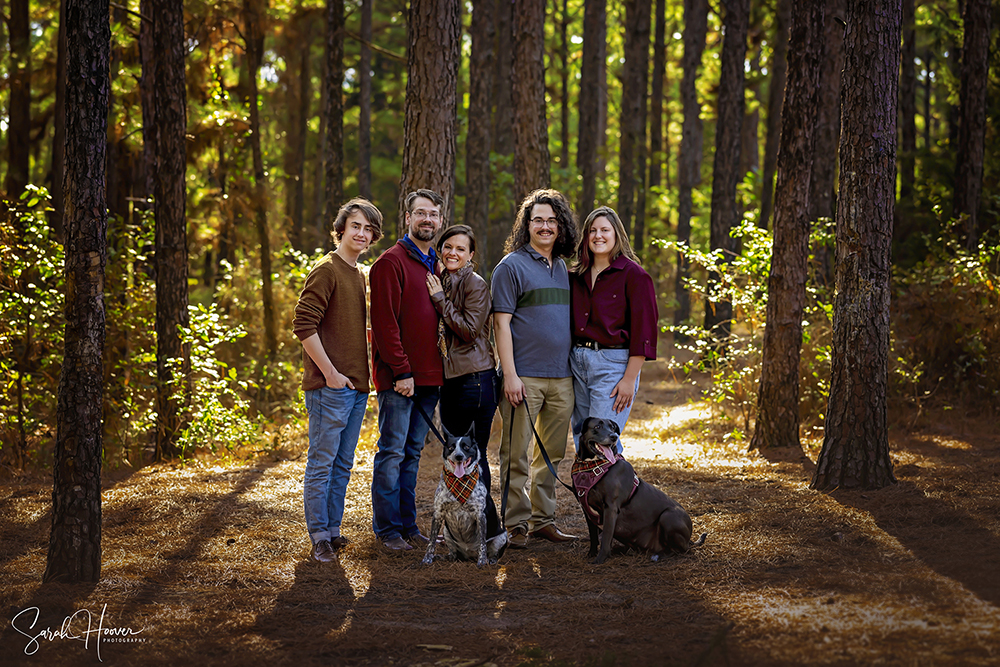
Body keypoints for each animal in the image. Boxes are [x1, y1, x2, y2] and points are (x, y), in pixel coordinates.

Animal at [422, 426, 508, 568]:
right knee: (453, 556)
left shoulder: (480, 515)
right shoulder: (438, 513)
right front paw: (427, 558)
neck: (460, 481)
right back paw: (442, 557)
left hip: (502, 537)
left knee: (494, 552)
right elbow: (431, 540)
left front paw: (482, 561)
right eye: (451, 447)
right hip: (446, 532)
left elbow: (483, 543)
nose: (458, 456)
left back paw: (491, 559)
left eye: (466, 447)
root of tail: (469, 554)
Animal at [576, 418, 708, 564]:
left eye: (612, 427)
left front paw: (600, 559)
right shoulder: (586, 509)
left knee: (681, 549)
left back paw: (659, 555)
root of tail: (689, 540)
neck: (592, 466)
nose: (614, 436)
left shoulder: (611, 508)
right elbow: (593, 536)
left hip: (669, 516)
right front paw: (591, 554)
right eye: (597, 426)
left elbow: (606, 537)